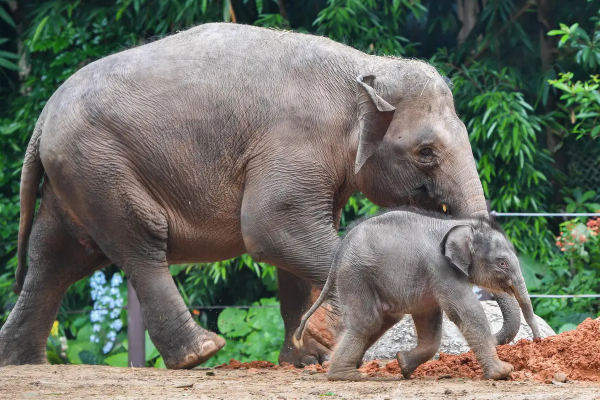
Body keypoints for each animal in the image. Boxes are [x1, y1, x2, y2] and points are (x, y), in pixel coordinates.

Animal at [0, 22, 520, 368]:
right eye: (427, 152)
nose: (499, 333)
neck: (365, 67)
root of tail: (43, 114)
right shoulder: (294, 139)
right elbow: (273, 228)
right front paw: (326, 339)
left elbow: (292, 245)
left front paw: (305, 358)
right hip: (100, 165)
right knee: (138, 243)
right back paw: (200, 354)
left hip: (77, 172)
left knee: (57, 258)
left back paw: (24, 363)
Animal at [292, 209, 540, 382]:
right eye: (502, 263)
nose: (537, 340)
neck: (456, 223)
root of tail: (339, 254)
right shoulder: (440, 267)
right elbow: (467, 311)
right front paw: (503, 372)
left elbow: (430, 321)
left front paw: (403, 364)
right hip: (356, 275)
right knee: (367, 322)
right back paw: (345, 375)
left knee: (382, 320)